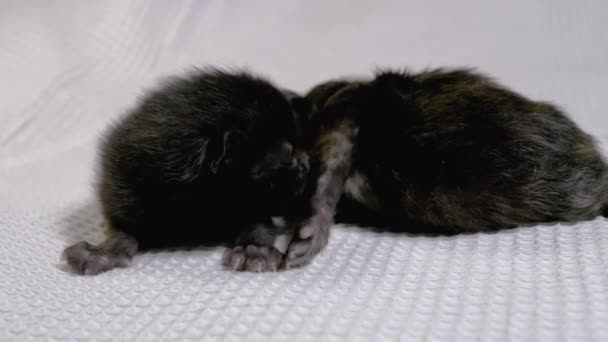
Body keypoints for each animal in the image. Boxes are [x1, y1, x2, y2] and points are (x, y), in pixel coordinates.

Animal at [62, 68, 312, 274]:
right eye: (289, 155)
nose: (306, 164)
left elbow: (259, 224)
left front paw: (254, 249)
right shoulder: (123, 188)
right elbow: (121, 230)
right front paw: (105, 251)